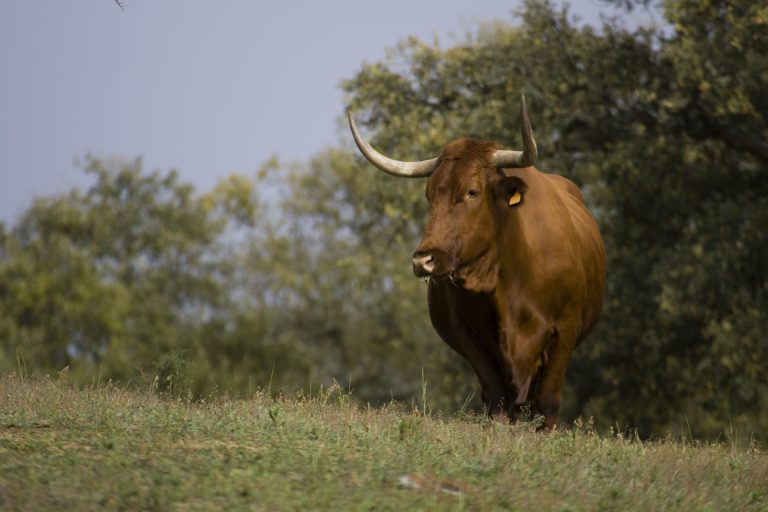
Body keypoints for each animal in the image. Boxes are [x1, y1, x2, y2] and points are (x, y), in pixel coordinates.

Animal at [348, 96, 608, 428]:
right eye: (429, 195)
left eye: (472, 191)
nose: (424, 260)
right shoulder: (467, 336)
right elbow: (496, 396)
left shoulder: (564, 331)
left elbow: (548, 401)